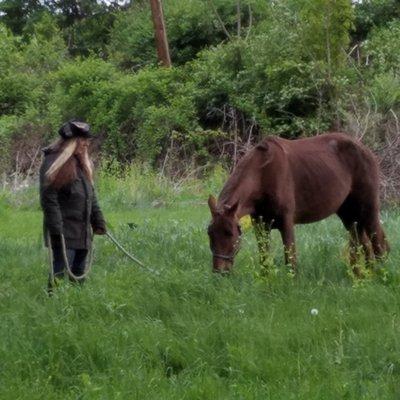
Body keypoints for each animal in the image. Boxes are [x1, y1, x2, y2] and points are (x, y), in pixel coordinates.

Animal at [208, 133, 390, 274]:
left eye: (229, 233)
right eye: (210, 233)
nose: (220, 271)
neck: (262, 174)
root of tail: (366, 150)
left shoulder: (286, 221)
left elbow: (290, 260)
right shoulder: (260, 224)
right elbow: (264, 258)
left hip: (368, 209)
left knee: (378, 243)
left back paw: (381, 275)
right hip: (349, 215)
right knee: (362, 244)